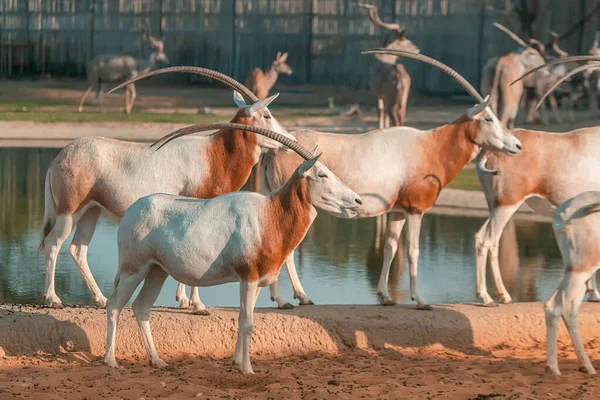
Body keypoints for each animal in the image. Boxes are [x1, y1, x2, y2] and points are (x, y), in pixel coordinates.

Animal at [37, 65, 290, 310]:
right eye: (267, 115)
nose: (290, 141)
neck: (214, 153)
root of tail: (59, 157)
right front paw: (197, 304)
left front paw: (184, 300)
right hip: (69, 212)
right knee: (53, 244)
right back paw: (53, 298)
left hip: (91, 211)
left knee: (78, 249)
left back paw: (99, 298)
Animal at [104, 122, 360, 376]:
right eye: (322, 174)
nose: (357, 201)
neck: (270, 214)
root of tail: (133, 209)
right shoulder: (248, 277)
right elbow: (247, 322)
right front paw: (247, 369)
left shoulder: (257, 283)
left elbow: (243, 319)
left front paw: (236, 361)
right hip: (134, 269)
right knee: (114, 305)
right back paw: (111, 361)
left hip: (157, 271)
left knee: (141, 308)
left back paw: (157, 361)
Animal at [166, 49, 524, 310]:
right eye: (489, 118)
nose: (517, 145)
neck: (429, 145)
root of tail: (273, 151)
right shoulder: (415, 208)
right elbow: (412, 251)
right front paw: (421, 301)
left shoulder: (396, 210)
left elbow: (390, 247)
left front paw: (385, 296)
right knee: (288, 249)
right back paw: (296, 298)